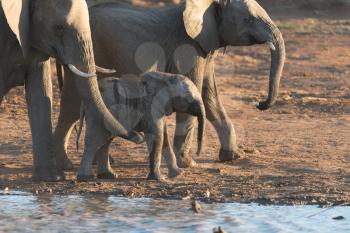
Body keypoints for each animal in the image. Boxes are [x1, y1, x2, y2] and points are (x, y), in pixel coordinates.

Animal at [54, 0, 284, 168]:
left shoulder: (205, 48)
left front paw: (233, 157)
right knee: (72, 106)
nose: (261, 104)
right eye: (249, 19)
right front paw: (187, 163)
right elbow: (195, 95)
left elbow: (210, 99)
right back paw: (67, 164)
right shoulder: (187, 48)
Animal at [77, 72, 205, 181]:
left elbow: (163, 137)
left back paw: (109, 176)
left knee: (105, 141)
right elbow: (157, 137)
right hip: (98, 115)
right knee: (95, 140)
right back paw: (87, 178)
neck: (166, 77)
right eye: (188, 97)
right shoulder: (151, 108)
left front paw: (178, 174)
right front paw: (160, 179)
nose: (198, 154)